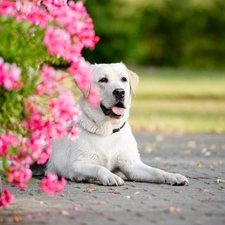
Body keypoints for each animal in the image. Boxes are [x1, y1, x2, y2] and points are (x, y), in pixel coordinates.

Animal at [46, 62, 190, 185]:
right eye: (103, 80)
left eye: (124, 79)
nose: (120, 92)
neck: (108, 130)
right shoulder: (76, 165)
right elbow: (99, 168)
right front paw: (111, 176)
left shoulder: (131, 164)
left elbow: (156, 170)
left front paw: (173, 176)